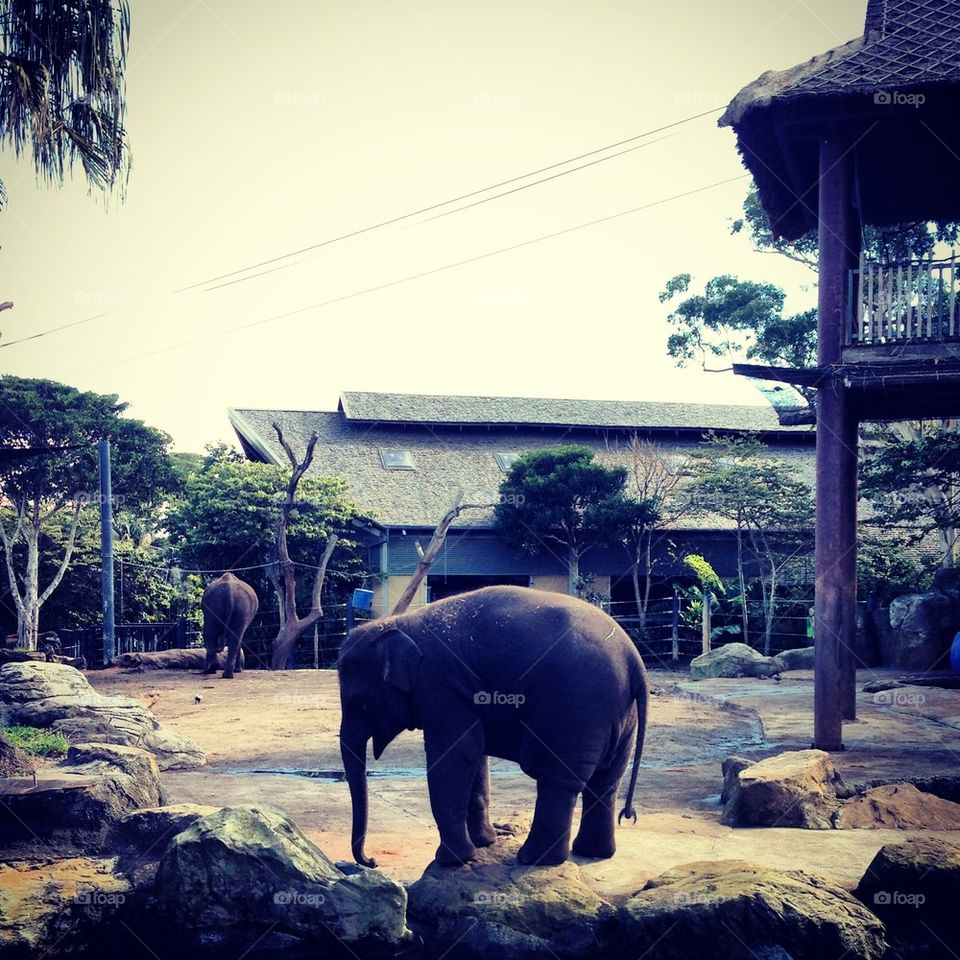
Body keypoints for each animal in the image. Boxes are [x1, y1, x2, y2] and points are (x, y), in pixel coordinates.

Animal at [338, 585, 648, 868]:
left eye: (358, 703)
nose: (372, 861)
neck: (400, 624)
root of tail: (634, 660)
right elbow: (476, 757)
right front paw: (484, 843)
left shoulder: (441, 685)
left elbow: (455, 755)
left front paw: (450, 860)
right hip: (619, 715)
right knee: (605, 781)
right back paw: (592, 852)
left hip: (573, 708)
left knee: (558, 780)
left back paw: (535, 860)